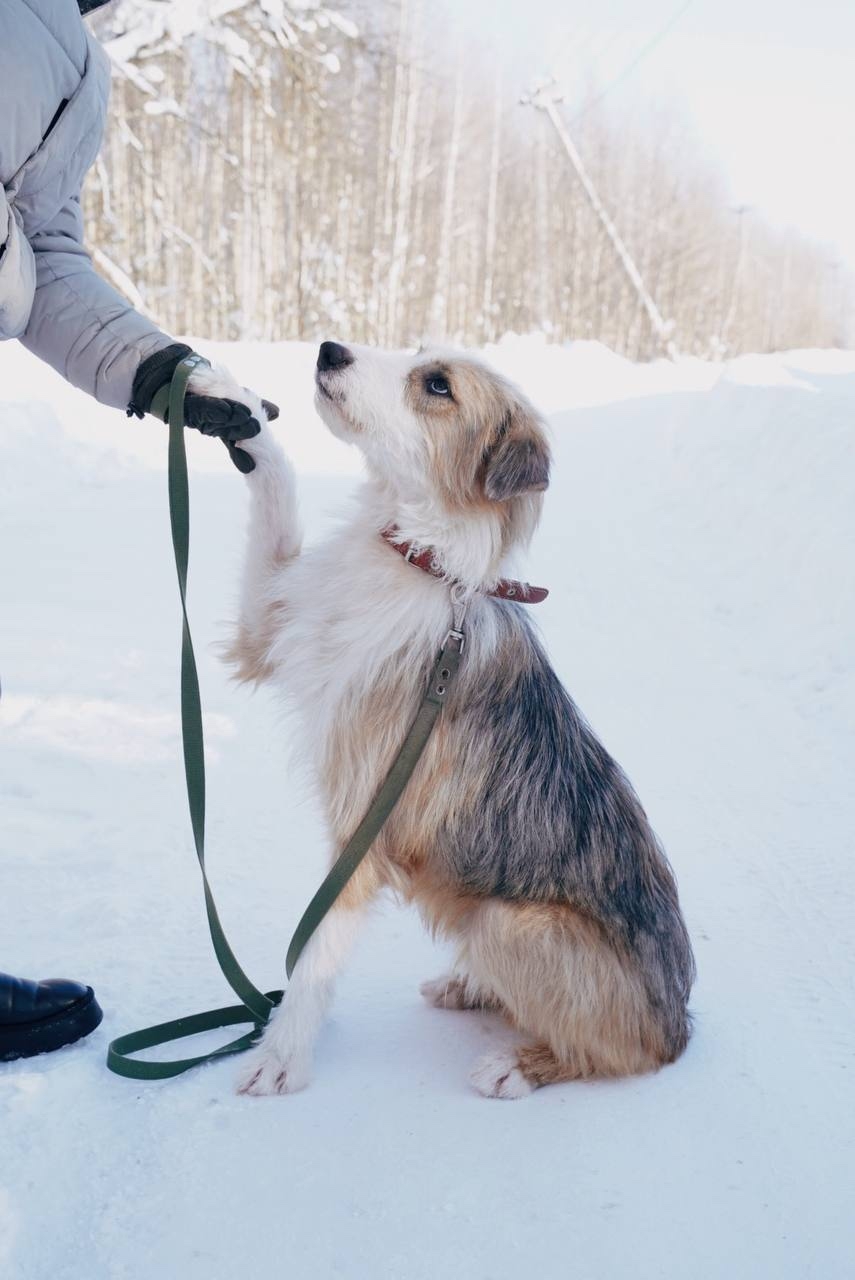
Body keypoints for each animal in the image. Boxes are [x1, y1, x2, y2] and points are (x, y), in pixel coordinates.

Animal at [198, 341, 695, 1099]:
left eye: (436, 385)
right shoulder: (266, 628)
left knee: (615, 1052)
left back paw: (520, 1064)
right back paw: (473, 987)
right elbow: (275, 491)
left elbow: (315, 955)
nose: (330, 349)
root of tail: (680, 1025)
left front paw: (282, 1055)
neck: (419, 559)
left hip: (506, 922)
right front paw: (238, 406)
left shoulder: (366, 825)